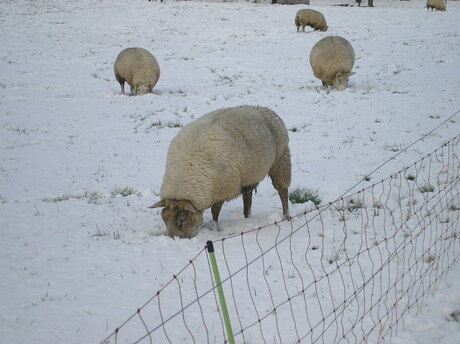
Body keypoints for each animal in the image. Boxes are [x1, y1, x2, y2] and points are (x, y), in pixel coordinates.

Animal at [149, 106, 292, 238]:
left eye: (182, 219)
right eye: (164, 219)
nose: (174, 238)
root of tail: (265, 109)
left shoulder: (223, 188)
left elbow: (215, 211)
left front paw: (215, 229)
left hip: (280, 160)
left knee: (282, 190)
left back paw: (286, 216)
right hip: (249, 174)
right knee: (247, 196)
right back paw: (247, 217)